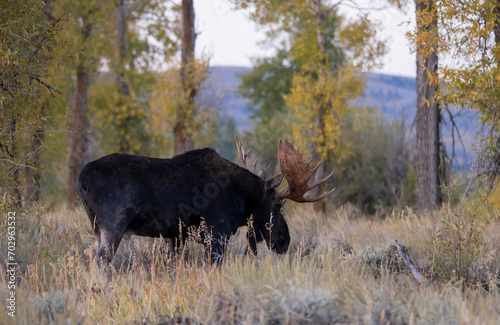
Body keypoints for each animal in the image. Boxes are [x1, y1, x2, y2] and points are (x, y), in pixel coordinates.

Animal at [80, 135, 334, 264]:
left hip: (97, 229)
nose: (285, 241)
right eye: (279, 205)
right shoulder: (217, 234)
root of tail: (81, 179)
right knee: (101, 260)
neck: (242, 198)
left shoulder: (178, 237)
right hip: (113, 225)